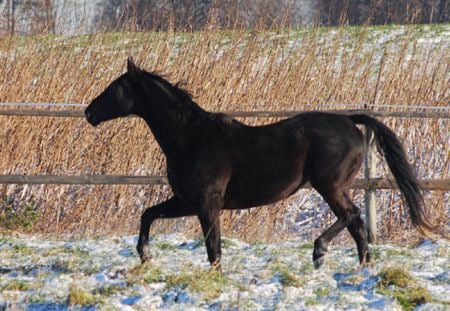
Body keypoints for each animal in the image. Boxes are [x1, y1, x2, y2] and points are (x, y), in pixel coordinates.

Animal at [85, 58, 436, 270]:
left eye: (114, 88)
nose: (89, 112)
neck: (191, 138)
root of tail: (350, 121)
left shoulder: (207, 204)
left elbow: (213, 247)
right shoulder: (186, 201)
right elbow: (148, 214)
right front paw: (145, 255)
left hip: (330, 184)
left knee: (352, 216)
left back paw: (320, 252)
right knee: (357, 225)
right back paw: (363, 268)